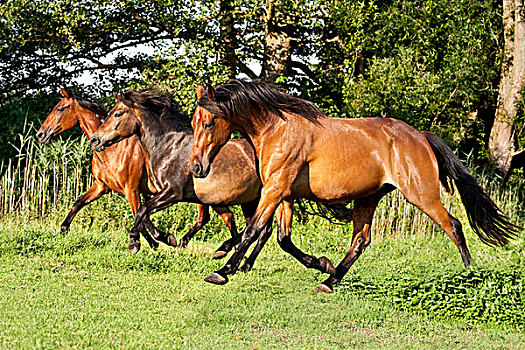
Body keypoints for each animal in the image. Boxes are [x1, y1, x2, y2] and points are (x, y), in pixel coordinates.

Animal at [189, 79, 520, 292]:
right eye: (193, 122)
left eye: (209, 122)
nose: (196, 167)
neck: (278, 129)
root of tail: (421, 136)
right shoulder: (283, 193)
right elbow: (282, 238)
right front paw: (322, 264)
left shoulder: (275, 190)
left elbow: (253, 230)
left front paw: (222, 270)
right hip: (368, 198)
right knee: (361, 240)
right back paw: (330, 280)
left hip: (421, 195)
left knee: (454, 225)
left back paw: (470, 274)